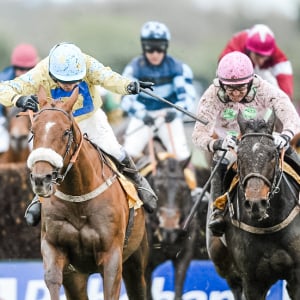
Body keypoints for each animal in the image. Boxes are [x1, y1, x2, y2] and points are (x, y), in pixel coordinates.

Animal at [26, 87, 148, 300]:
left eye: (65, 132)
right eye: (33, 131)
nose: (41, 178)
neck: (78, 198)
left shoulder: (112, 255)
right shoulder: (55, 249)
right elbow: (52, 278)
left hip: (136, 261)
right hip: (77, 278)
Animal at [207, 110, 300, 300]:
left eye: (272, 154)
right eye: (240, 156)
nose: (256, 203)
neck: (269, 225)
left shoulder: (296, 275)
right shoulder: (252, 280)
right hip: (227, 269)